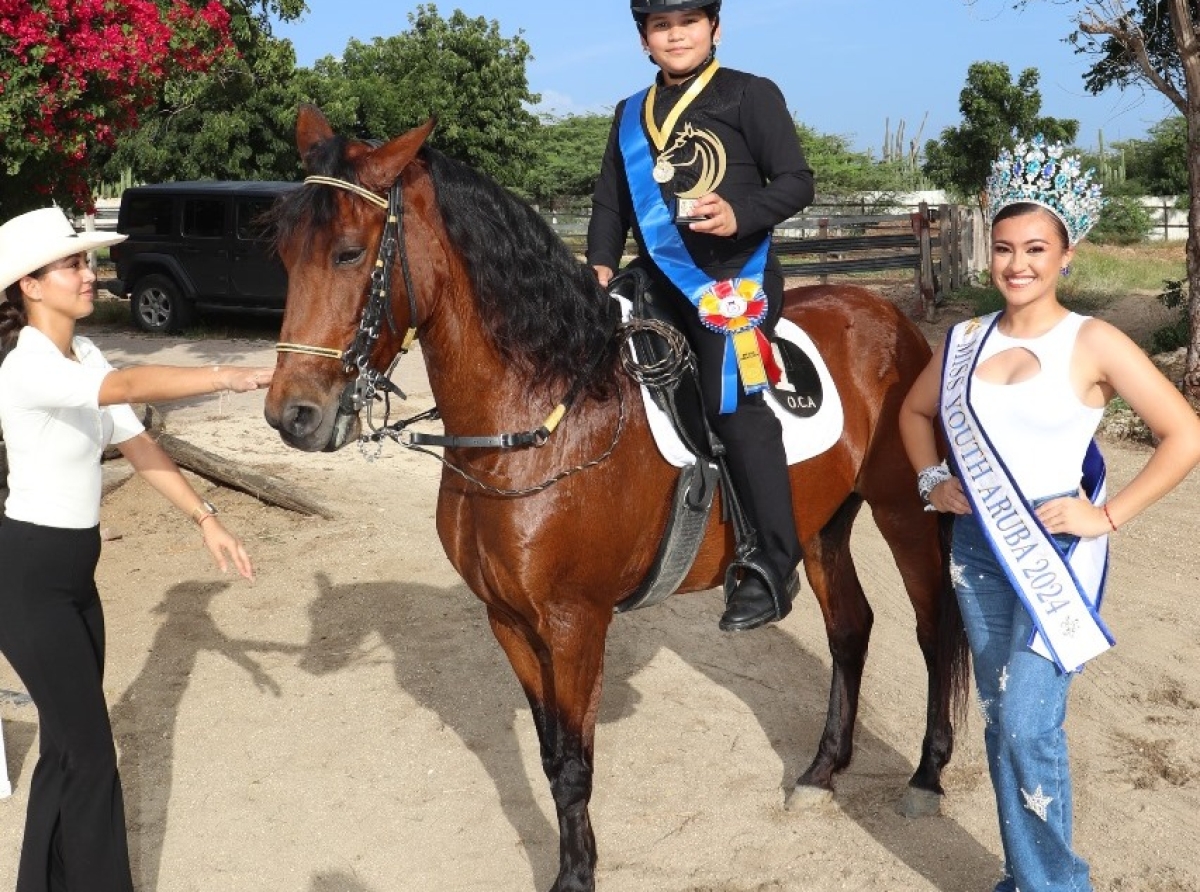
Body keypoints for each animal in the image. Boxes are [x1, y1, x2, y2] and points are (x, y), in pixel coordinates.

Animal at [262, 106, 964, 892]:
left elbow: (575, 764)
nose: (293, 416)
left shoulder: (575, 625)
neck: (543, 414)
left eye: (350, 253)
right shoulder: (509, 621)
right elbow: (550, 757)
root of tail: (887, 313)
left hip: (903, 512)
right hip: (820, 527)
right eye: (285, 254)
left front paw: (577, 878)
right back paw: (819, 773)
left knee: (933, 629)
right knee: (850, 628)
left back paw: (926, 777)